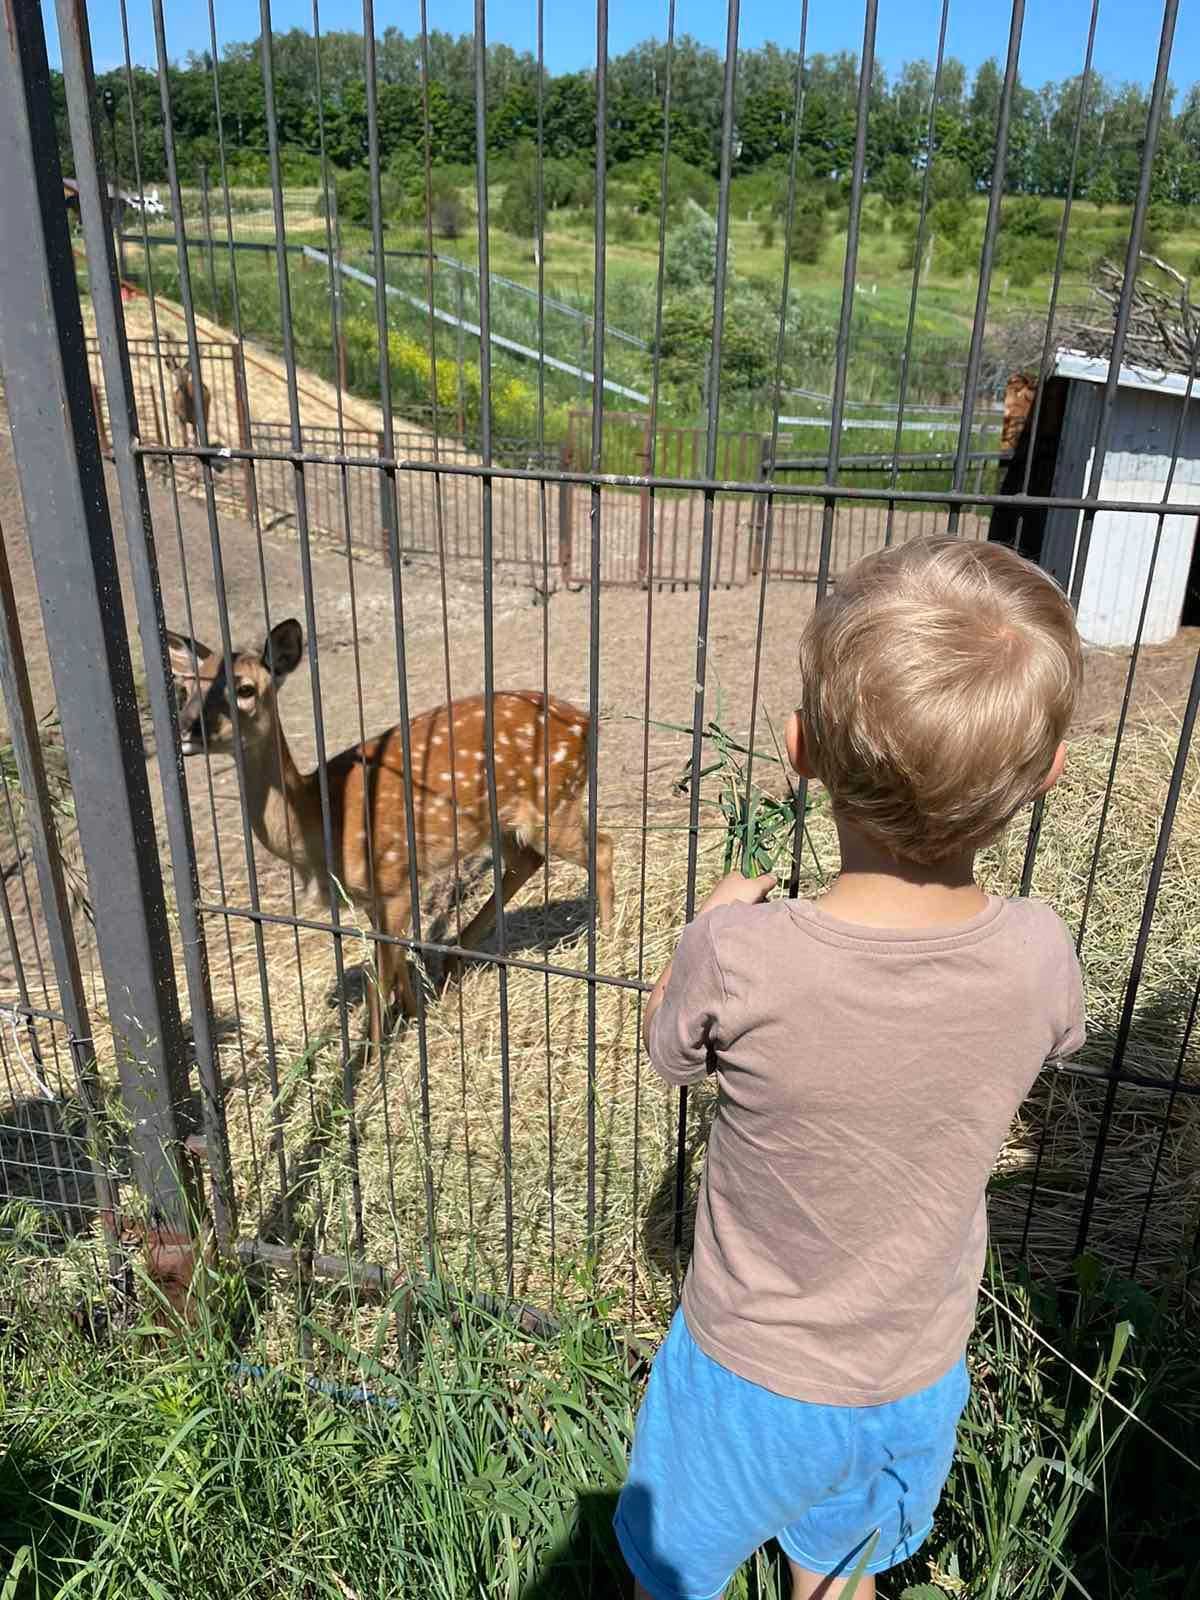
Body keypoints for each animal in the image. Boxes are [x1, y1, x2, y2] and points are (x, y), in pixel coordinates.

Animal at [168, 617, 614, 1056]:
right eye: (184, 689)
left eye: (244, 689)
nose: (187, 728)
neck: (320, 823)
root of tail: (585, 722)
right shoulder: (371, 897)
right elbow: (395, 966)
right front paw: (416, 1016)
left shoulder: (394, 880)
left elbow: (377, 978)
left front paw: (371, 1057)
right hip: (500, 821)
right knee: (528, 860)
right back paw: (455, 958)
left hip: (553, 803)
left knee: (602, 848)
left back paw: (607, 945)